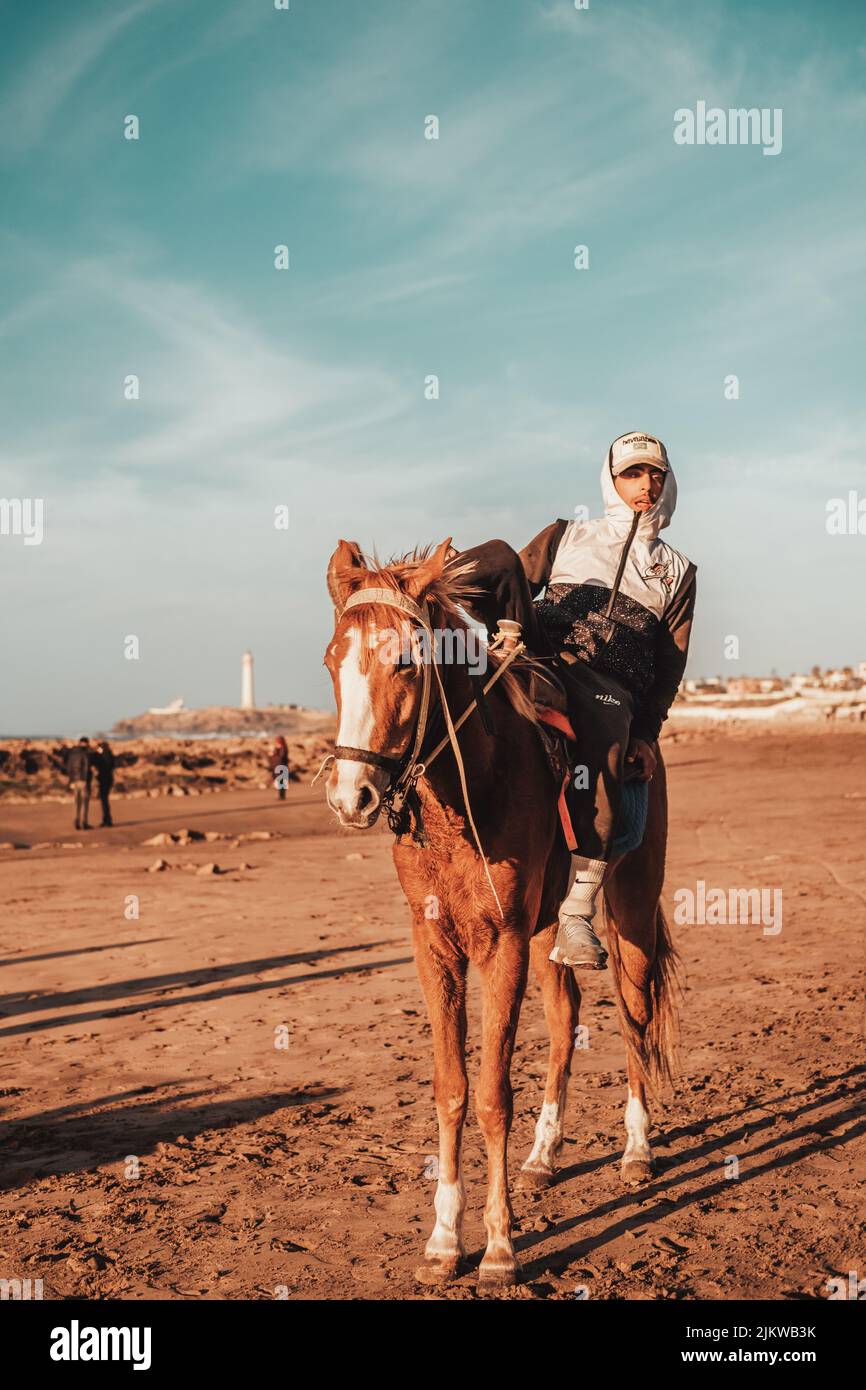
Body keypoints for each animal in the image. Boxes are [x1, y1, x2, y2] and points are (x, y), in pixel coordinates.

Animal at [322, 536, 681, 1284]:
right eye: (331, 660)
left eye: (407, 660)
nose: (352, 796)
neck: (468, 789)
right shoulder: (435, 946)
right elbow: (451, 1089)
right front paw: (442, 1240)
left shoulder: (502, 945)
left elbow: (491, 1095)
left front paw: (498, 1246)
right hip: (547, 930)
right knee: (567, 1013)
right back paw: (544, 1156)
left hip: (631, 907)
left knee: (634, 1013)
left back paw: (637, 1149)